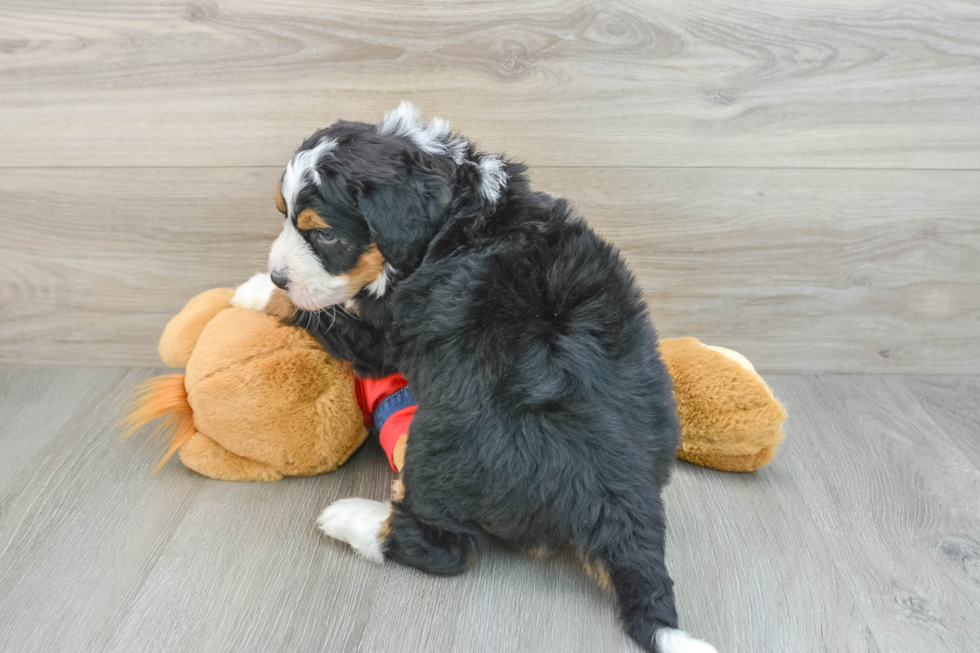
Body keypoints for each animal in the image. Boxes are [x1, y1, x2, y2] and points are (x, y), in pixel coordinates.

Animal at [235, 104, 712, 652]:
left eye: (324, 235)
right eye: (284, 216)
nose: (278, 274)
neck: (454, 218)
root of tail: (620, 498)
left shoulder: (388, 340)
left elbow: (330, 317)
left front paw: (254, 292)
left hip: (442, 444)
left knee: (446, 548)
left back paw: (355, 520)